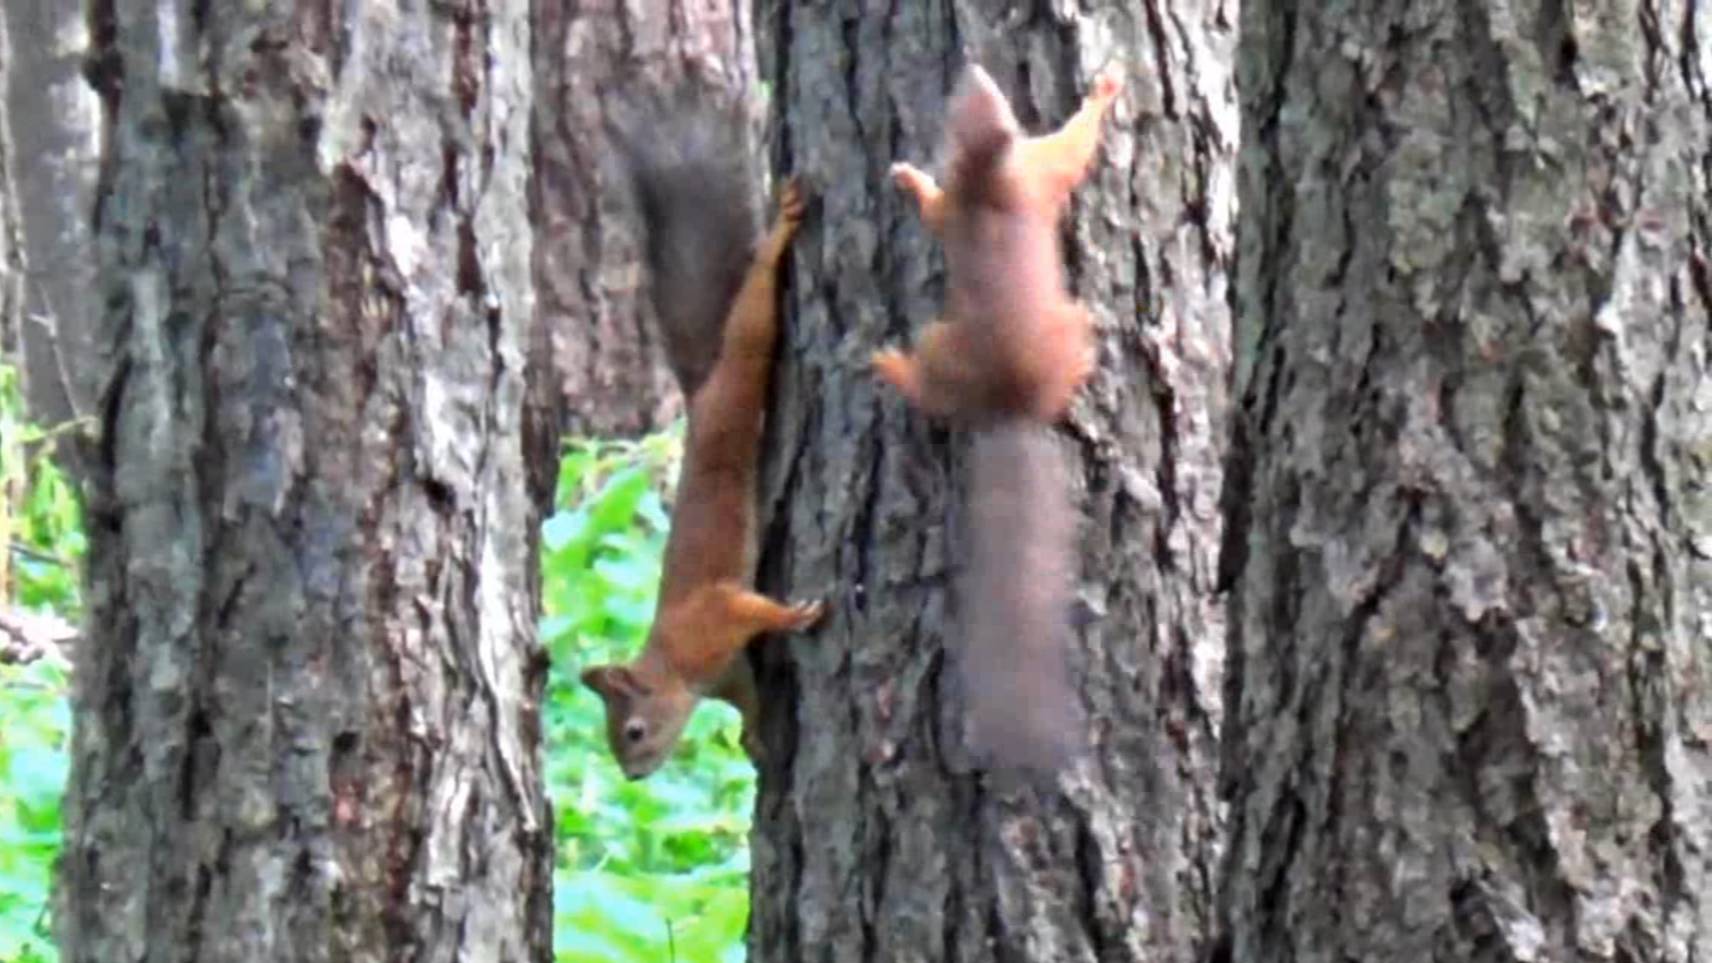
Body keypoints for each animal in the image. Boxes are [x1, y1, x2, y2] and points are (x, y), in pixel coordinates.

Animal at [582, 93, 821, 774]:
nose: (634, 775)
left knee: (753, 319)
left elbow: (756, 608)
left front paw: (795, 614)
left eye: (633, 731)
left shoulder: (716, 617)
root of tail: (702, 392)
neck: (676, 666)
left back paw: (779, 235)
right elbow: (749, 702)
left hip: (739, 375)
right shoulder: (729, 672)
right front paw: (756, 741)